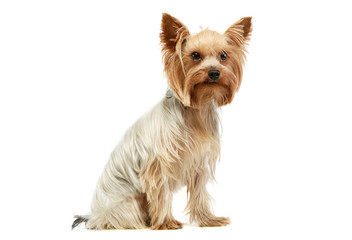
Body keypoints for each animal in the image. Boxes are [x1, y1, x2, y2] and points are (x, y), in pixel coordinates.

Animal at [73, 13, 252, 231]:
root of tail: (94, 216)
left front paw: (208, 219)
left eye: (224, 56)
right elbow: (161, 193)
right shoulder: (158, 165)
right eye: (195, 55)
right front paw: (166, 222)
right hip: (128, 204)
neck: (196, 110)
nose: (214, 72)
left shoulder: (199, 162)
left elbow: (199, 193)